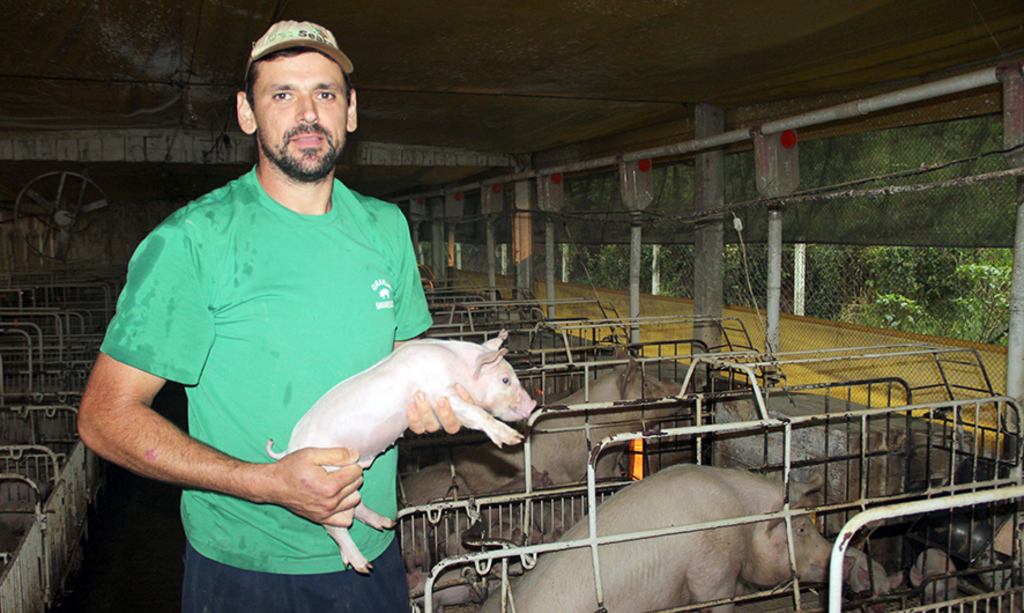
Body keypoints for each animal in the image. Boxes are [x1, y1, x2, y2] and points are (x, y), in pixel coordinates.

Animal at [264, 331, 536, 577]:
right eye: (505, 380)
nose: (533, 405)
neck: (455, 365)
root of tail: (291, 449)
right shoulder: (440, 395)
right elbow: (476, 412)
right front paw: (513, 438)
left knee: (355, 506)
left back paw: (386, 523)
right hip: (326, 481)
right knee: (334, 525)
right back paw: (363, 565)